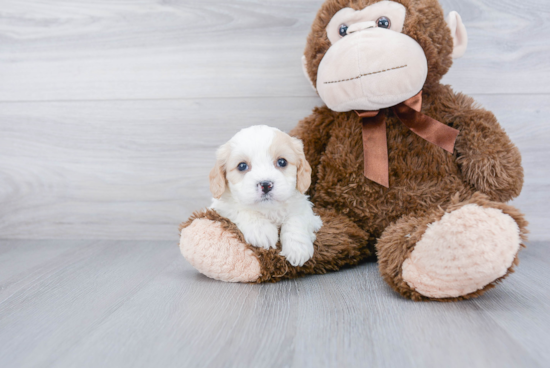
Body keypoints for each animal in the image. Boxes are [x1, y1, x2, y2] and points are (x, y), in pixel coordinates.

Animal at [210, 125, 324, 266]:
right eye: (242, 166)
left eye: (282, 162)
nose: (265, 185)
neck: (269, 209)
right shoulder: (222, 206)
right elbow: (241, 209)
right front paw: (262, 230)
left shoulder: (301, 205)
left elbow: (297, 219)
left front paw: (298, 248)